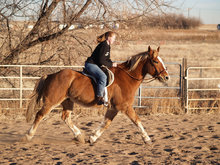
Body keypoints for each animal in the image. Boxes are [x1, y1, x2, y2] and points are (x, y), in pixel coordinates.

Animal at [25, 45, 169, 144]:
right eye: (156, 61)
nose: (166, 77)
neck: (127, 77)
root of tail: (51, 75)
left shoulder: (113, 108)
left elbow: (106, 123)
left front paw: (93, 137)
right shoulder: (124, 106)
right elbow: (137, 120)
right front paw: (147, 139)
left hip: (67, 101)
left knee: (66, 117)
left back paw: (79, 136)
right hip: (52, 101)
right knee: (40, 115)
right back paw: (29, 135)